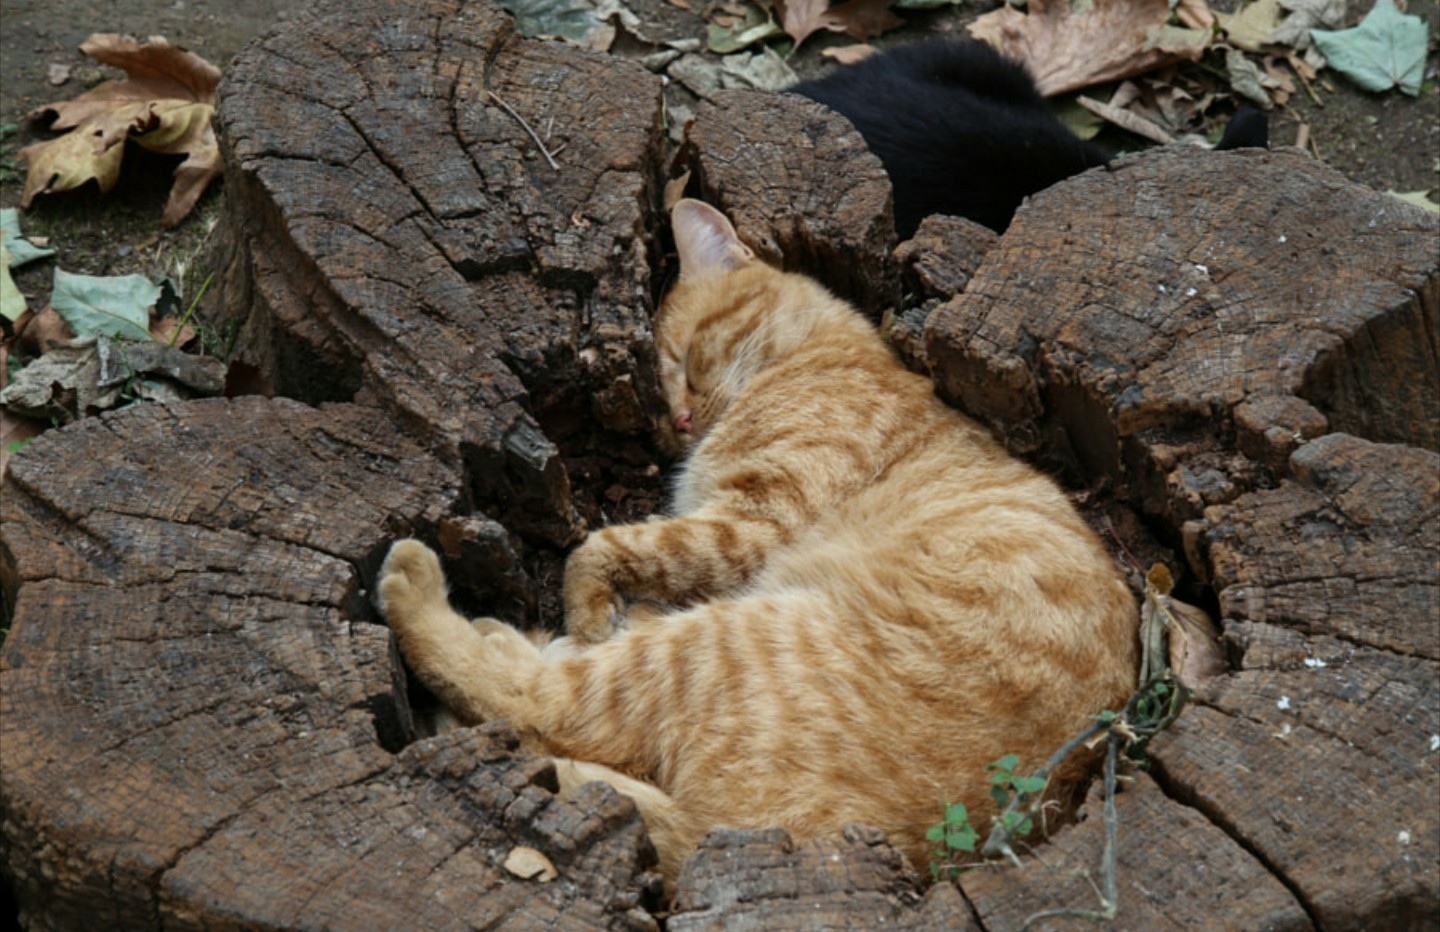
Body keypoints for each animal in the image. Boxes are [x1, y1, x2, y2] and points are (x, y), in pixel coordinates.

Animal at [377, 200, 1140, 887]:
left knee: (536, 704)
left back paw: (428, 587)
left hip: (724, 638)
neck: (817, 358)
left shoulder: (752, 520)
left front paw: (585, 611)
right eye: (662, 391)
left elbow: (602, 549)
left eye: (683, 358)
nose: (681, 421)